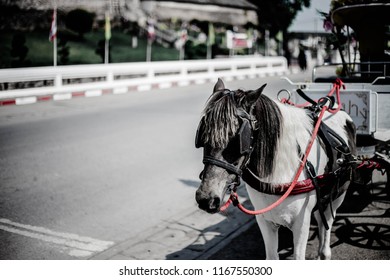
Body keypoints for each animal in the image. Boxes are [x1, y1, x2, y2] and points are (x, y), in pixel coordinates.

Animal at [195, 77, 356, 260]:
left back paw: (324, 252)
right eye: (203, 135)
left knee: (327, 220)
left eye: (238, 139)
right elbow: (272, 256)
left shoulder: (301, 223)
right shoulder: (265, 220)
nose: (206, 199)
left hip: (338, 195)